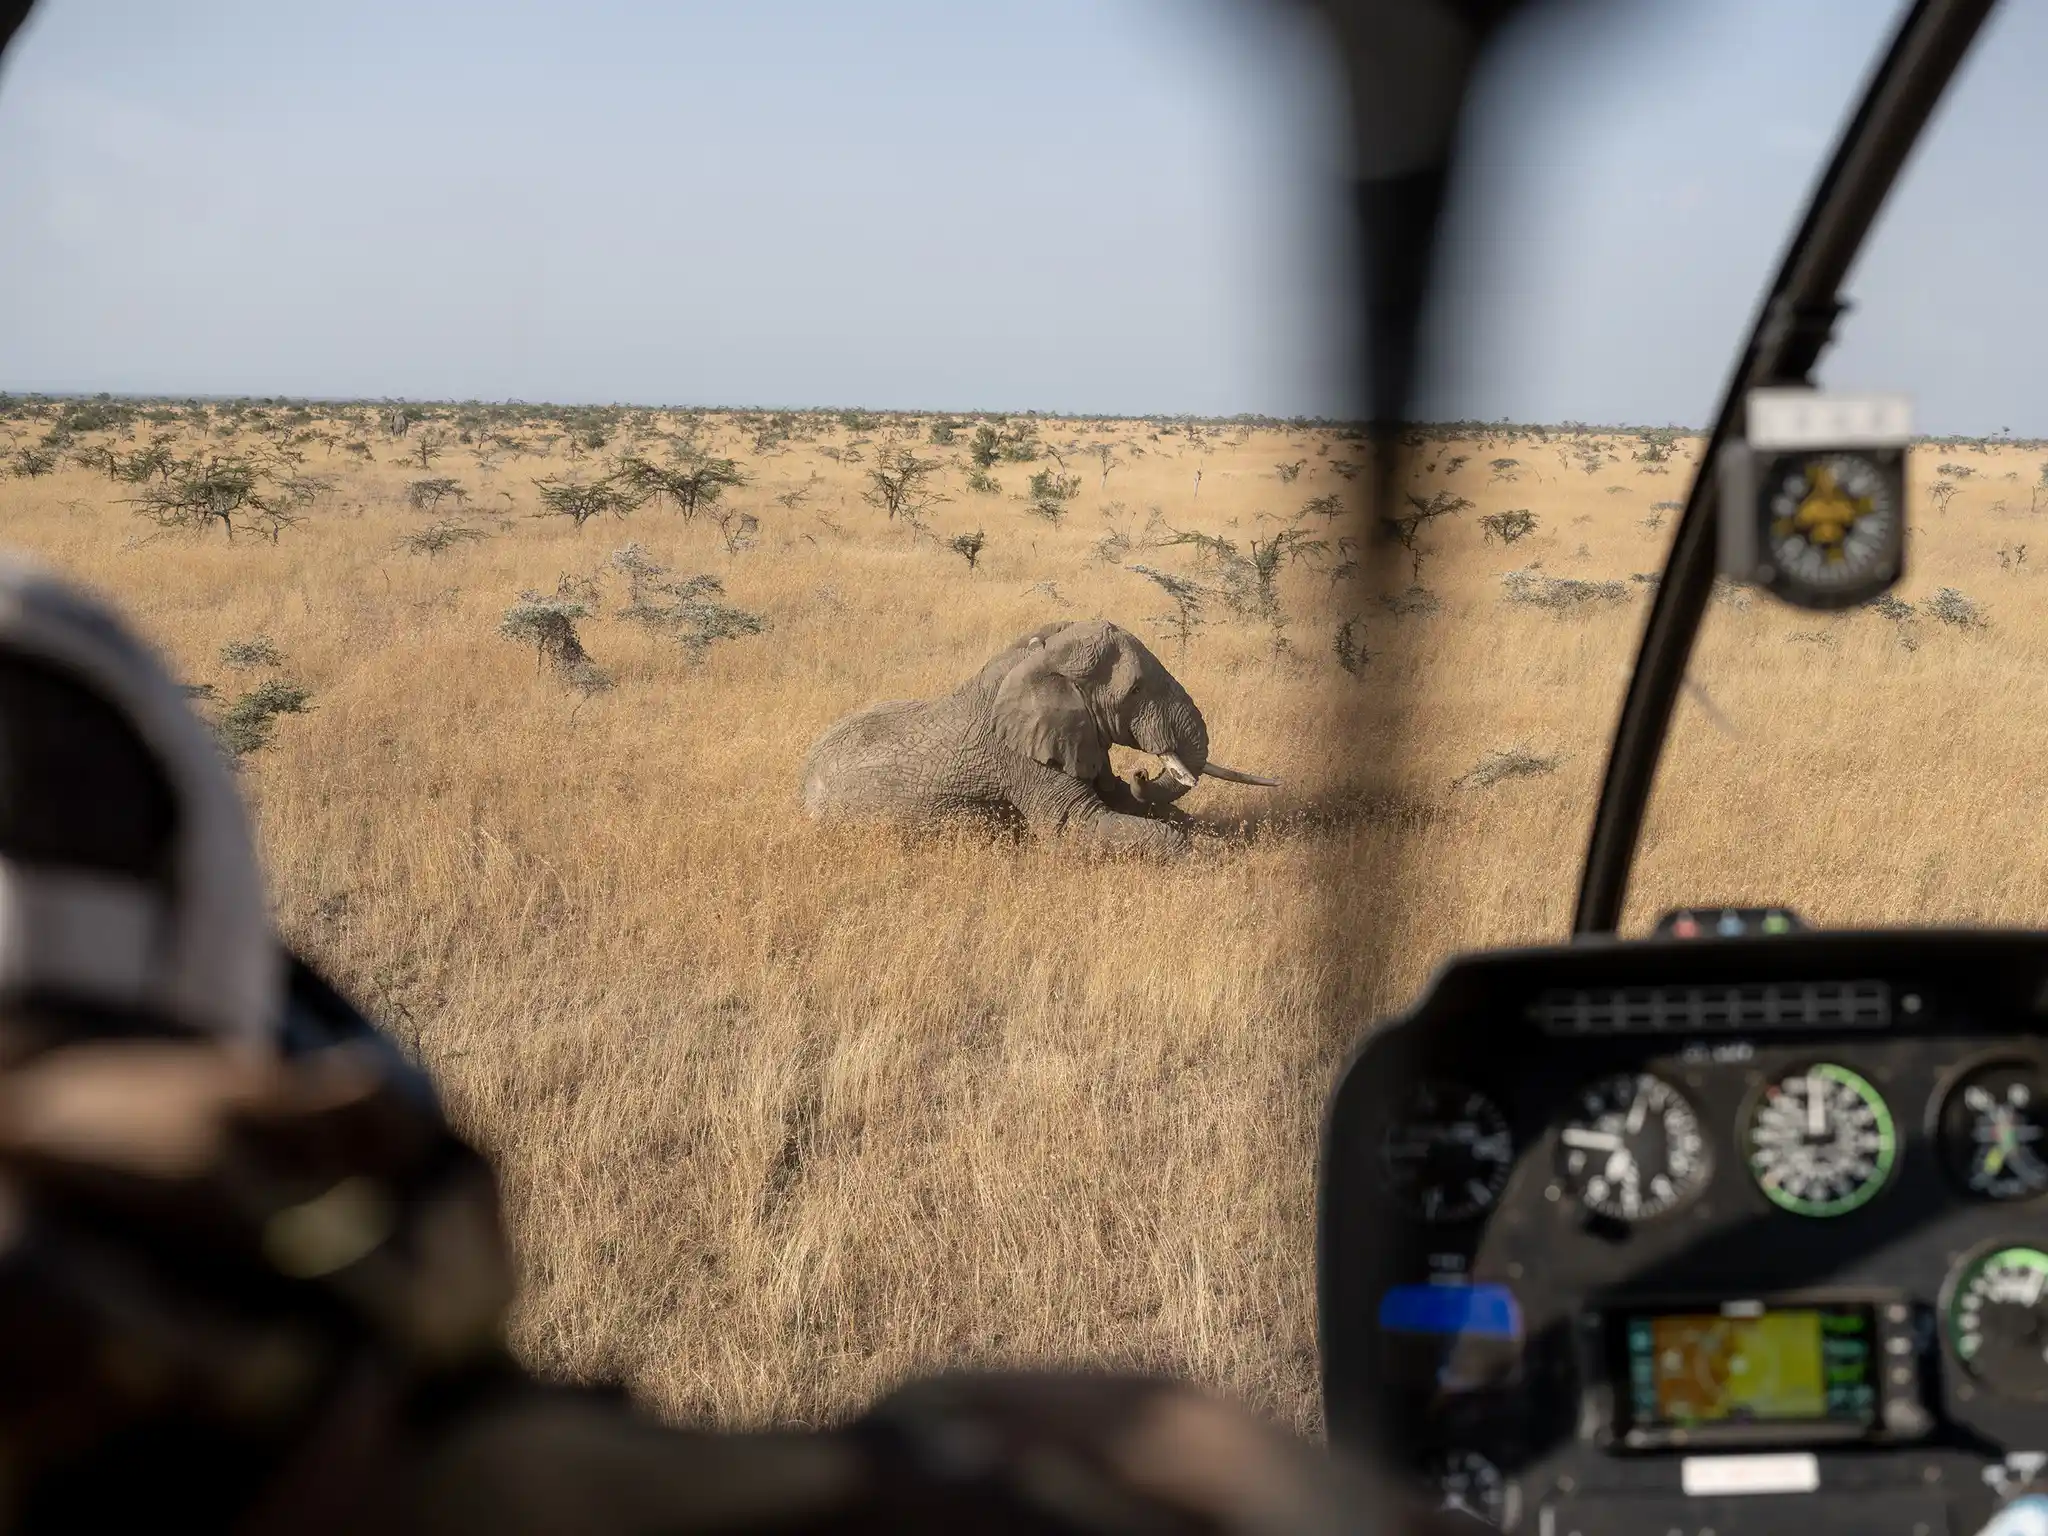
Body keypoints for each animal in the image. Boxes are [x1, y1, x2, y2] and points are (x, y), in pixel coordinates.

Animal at [800, 618, 1277, 854]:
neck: (1041, 659)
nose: (1143, 769)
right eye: (1136, 690)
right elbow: (1079, 826)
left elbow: (1119, 799)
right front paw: (1213, 854)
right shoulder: (1022, 757)